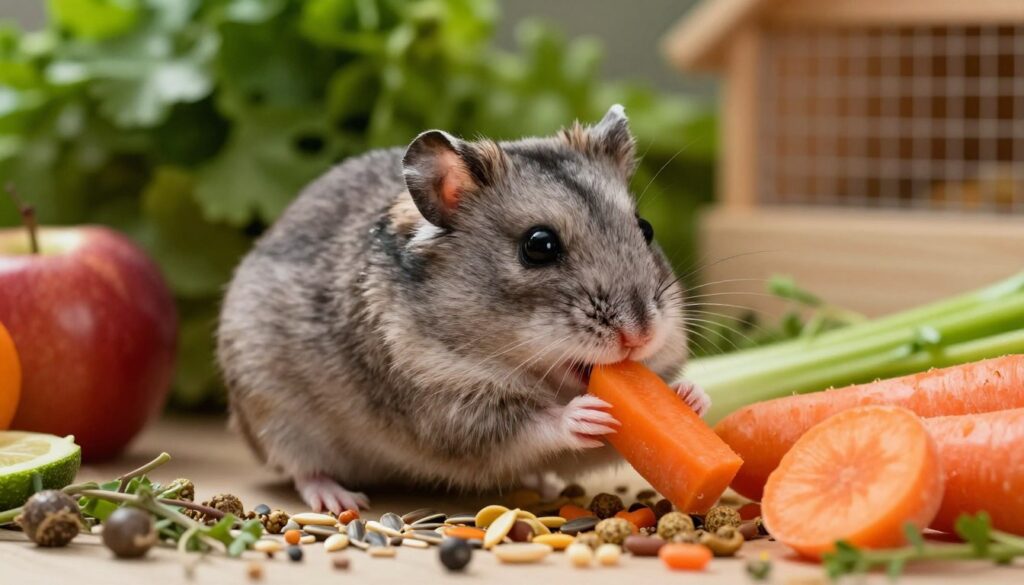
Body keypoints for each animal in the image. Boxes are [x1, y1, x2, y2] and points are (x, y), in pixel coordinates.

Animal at [217, 105, 710, 512]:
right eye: (539, 245)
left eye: (645, 228)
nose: (640, 335)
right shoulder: (447, 408)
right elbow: (527, 425)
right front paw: (584, 413)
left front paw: (691, 396)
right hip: (275, 415)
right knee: (302, 467)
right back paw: (339, 500)